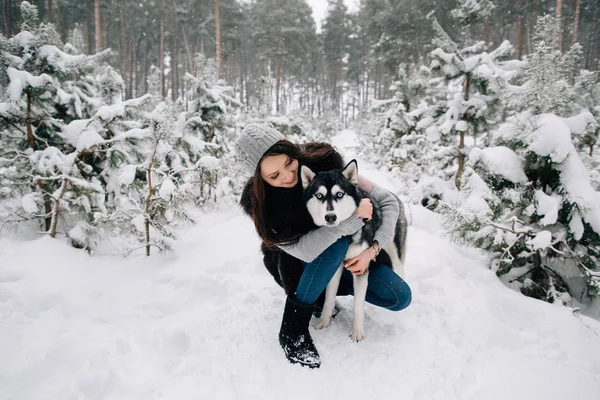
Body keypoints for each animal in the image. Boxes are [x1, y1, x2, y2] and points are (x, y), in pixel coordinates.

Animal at [300, 159, 408, 340]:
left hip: (395, 249)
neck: (347, 235)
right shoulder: (335, 267)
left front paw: (357, 332)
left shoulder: (360, 267)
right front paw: (324, 321)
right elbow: (329, 296)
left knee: (400, 269)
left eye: (339, 194)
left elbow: (358, 305)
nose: (330, 217)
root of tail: (391, 193)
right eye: (319, 195)